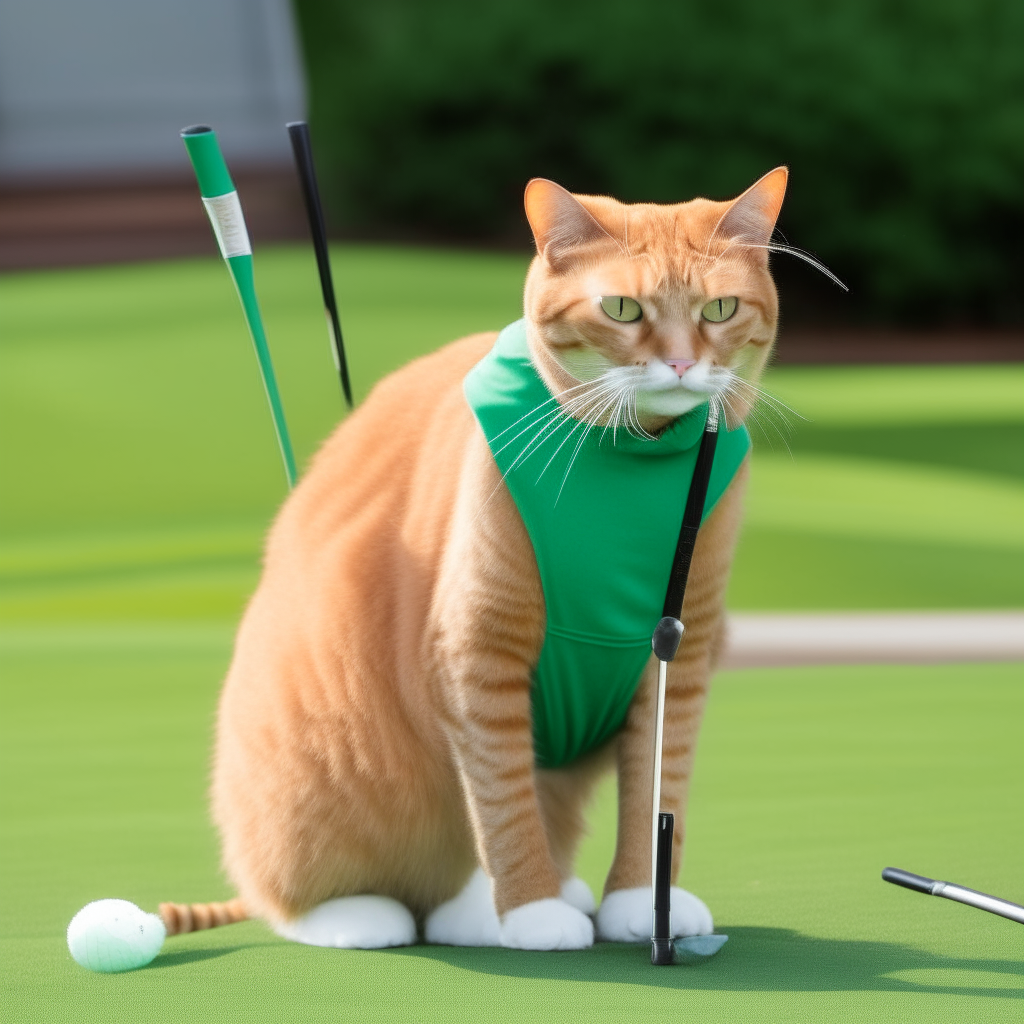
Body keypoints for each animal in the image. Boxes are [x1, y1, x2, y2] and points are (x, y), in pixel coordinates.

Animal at [172, 165, 786, 950]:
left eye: (720, 308)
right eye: (621, 308)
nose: (681, 363)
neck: (635, 465)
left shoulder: (683, 654)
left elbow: (659, 789)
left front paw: (645, 902)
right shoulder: (478, 653)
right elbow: (502, 803)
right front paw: (529, 911)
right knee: (320, 889)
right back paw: (385, 915)